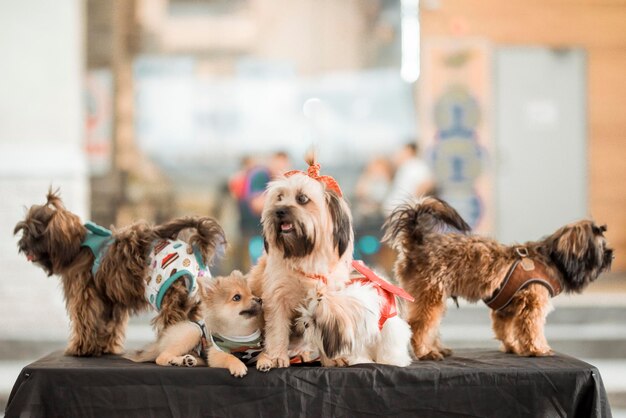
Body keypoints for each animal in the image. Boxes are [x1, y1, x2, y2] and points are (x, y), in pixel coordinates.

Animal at [14, 189, 225, 356]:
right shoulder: (111, 301)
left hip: (165, 295)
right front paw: (105, 348)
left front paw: (80, 348)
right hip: (193, 302)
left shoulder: (85, 295)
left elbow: (85, 321)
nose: (22, 245)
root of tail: (197, 252)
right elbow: (111, 325)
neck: (78, 245)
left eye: (33, 232)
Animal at [125, 272, 262, 378]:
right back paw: (174, 361)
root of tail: (160, 341)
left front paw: (264, 362)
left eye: (252, 293)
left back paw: (187, 360)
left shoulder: (256, 349)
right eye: (237, 297)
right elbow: (229, 357)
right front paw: (238, 366)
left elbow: (264, 354)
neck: (241, 332)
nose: (259, 299)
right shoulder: (216, 353)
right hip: (192, 332)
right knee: (161, 357)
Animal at [250, 158, 356, 370]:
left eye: (302, 198)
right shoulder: (277, 300)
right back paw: (266, 359)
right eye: (279, 197)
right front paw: (277, 357)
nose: (279, 211)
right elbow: (277, 331)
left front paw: (332, 358)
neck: (305, 258)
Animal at [382, 198, 612, 358]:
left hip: (431, 298)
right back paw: (425, 352)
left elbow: (506, 331)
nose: (612, 254)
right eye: (602, 247)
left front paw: (513, 347)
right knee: (418, 326)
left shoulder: (506, 310)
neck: (551, 257)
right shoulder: (533, 306)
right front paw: (538, 349)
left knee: (429, 326)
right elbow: (533, 330)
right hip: (430, 296)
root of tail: (419, 241)